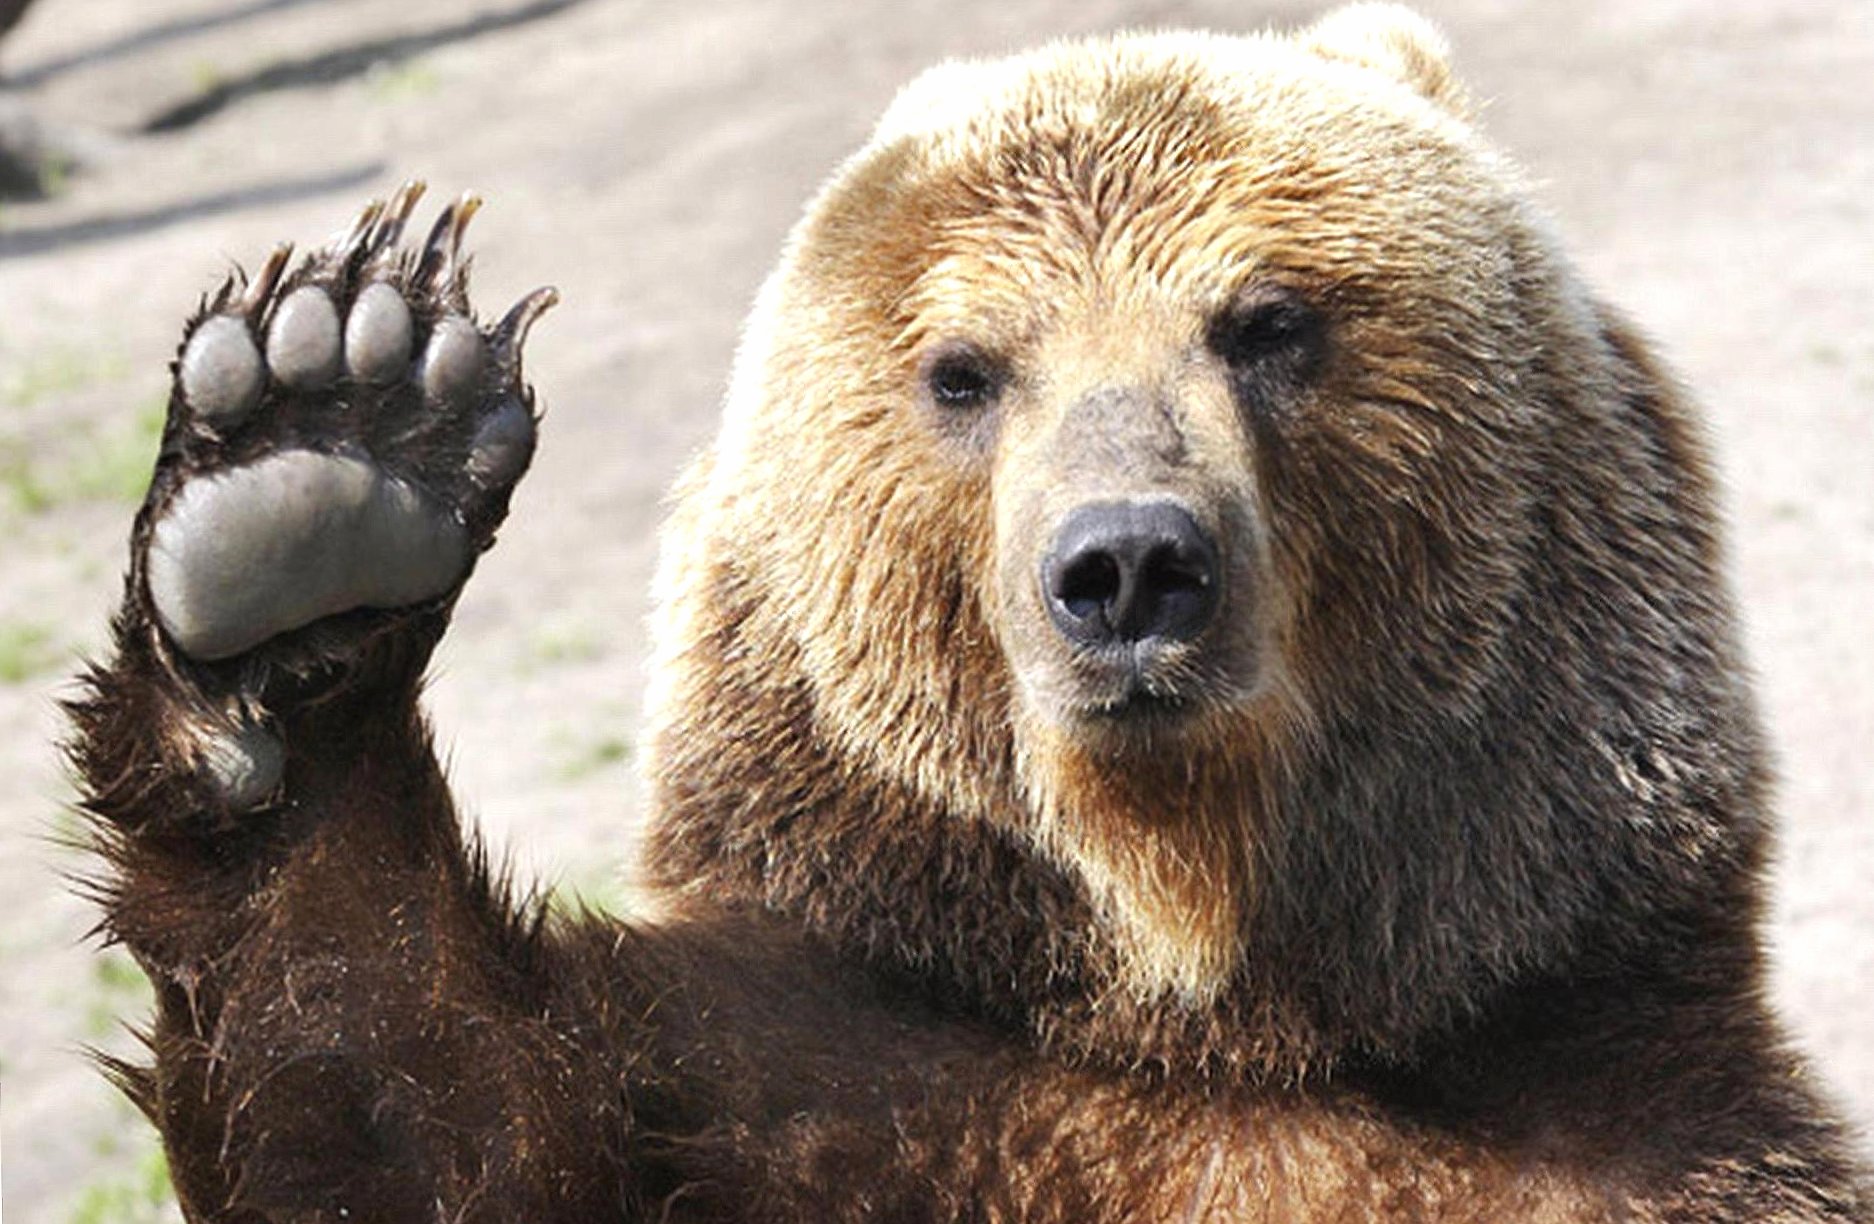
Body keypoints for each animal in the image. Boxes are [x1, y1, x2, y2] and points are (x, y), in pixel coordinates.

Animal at [68, 4, 1872, 1220]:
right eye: (963, 369)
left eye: (1265, 319)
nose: (1128, 565)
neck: (1200, 988)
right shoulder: (798, 1080)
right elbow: (405, 1106)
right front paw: (320, 457)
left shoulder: (1627, 1129)